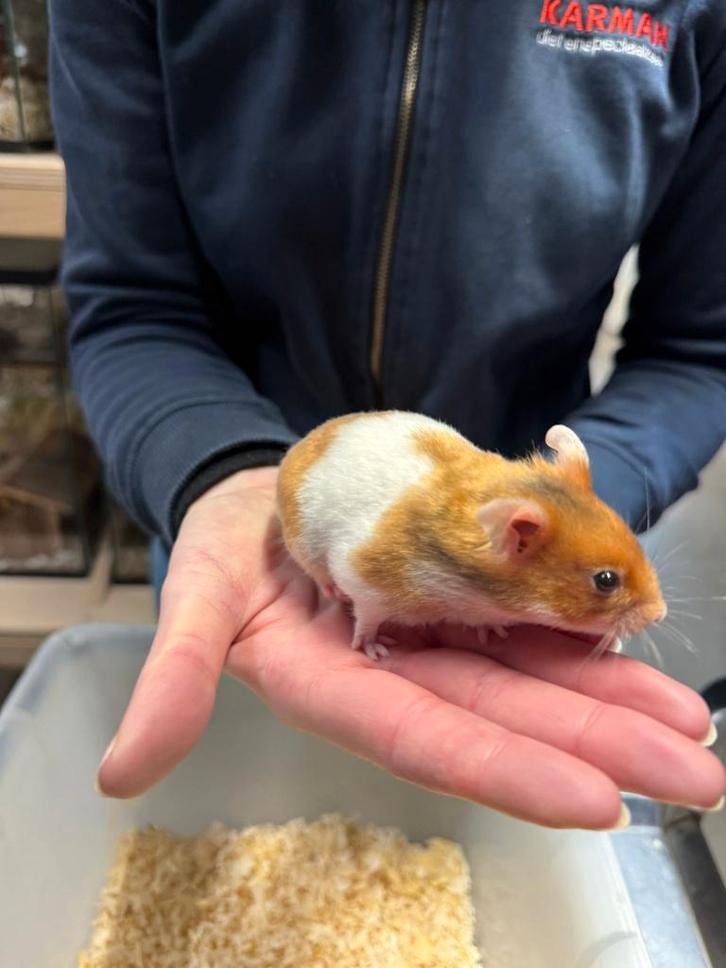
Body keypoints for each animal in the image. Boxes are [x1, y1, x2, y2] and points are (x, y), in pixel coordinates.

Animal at [276, 411, 666, 660]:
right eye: (606, 580)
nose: (660, 615)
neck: (475, 590)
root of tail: (300, 445)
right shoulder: (367, 582)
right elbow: (367, 619)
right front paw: (376, 650)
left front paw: (494, 633)